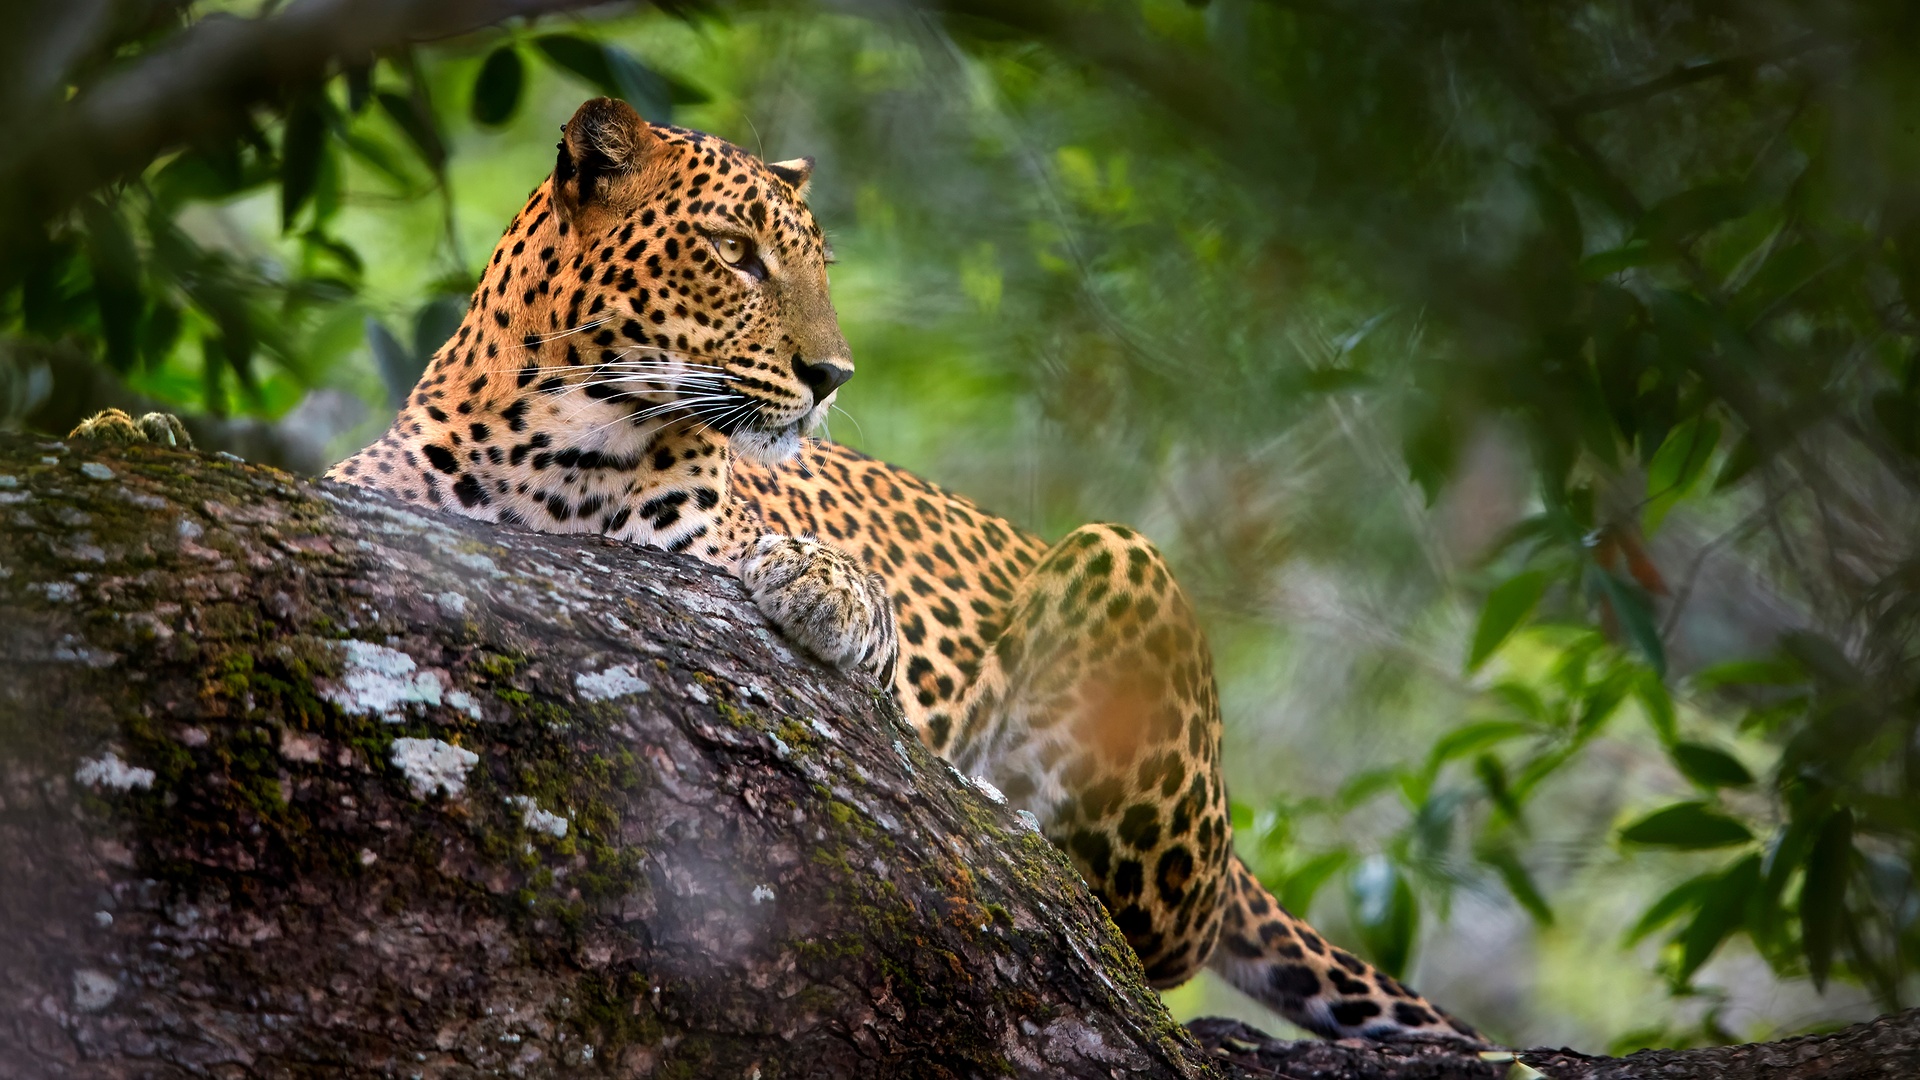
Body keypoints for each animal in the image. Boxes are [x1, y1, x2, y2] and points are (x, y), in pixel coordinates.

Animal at [76, 97, 1484, 1045]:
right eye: (739, 253)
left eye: (811, 263)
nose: (833, 377)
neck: (547, 431)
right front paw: (128, 430)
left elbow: (766, 550)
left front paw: (829, 591)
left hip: (1121, 569)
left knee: (1149, 932)